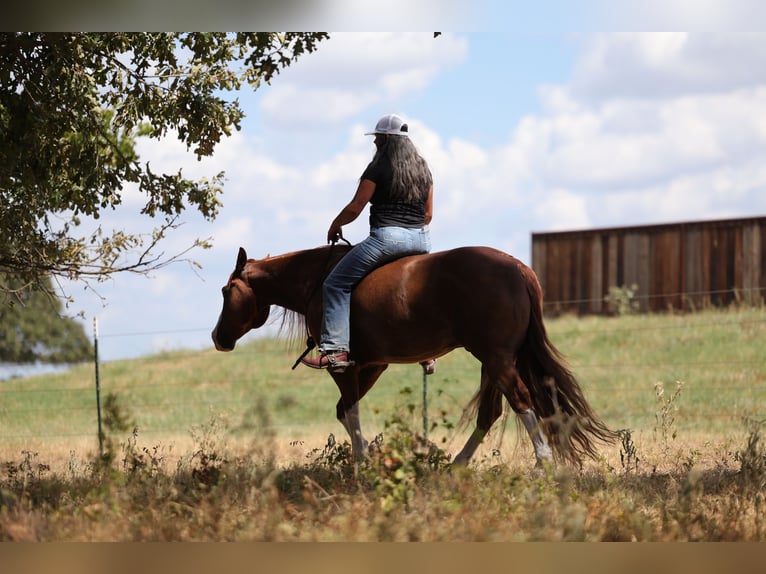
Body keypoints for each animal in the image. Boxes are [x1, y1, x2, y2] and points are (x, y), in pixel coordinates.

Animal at [211, 244, 615, 467]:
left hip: (498, 361)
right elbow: (346, 410)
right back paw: (457, 465)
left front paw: (363, 462)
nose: (218, 337)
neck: (317, 281)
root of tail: (518, 268)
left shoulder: (343, 366)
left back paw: (541, 463)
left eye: (225, 290)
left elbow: (348, 410)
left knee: (521, 401)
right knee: (491, 412)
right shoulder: (373, 365)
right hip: (495, 362)